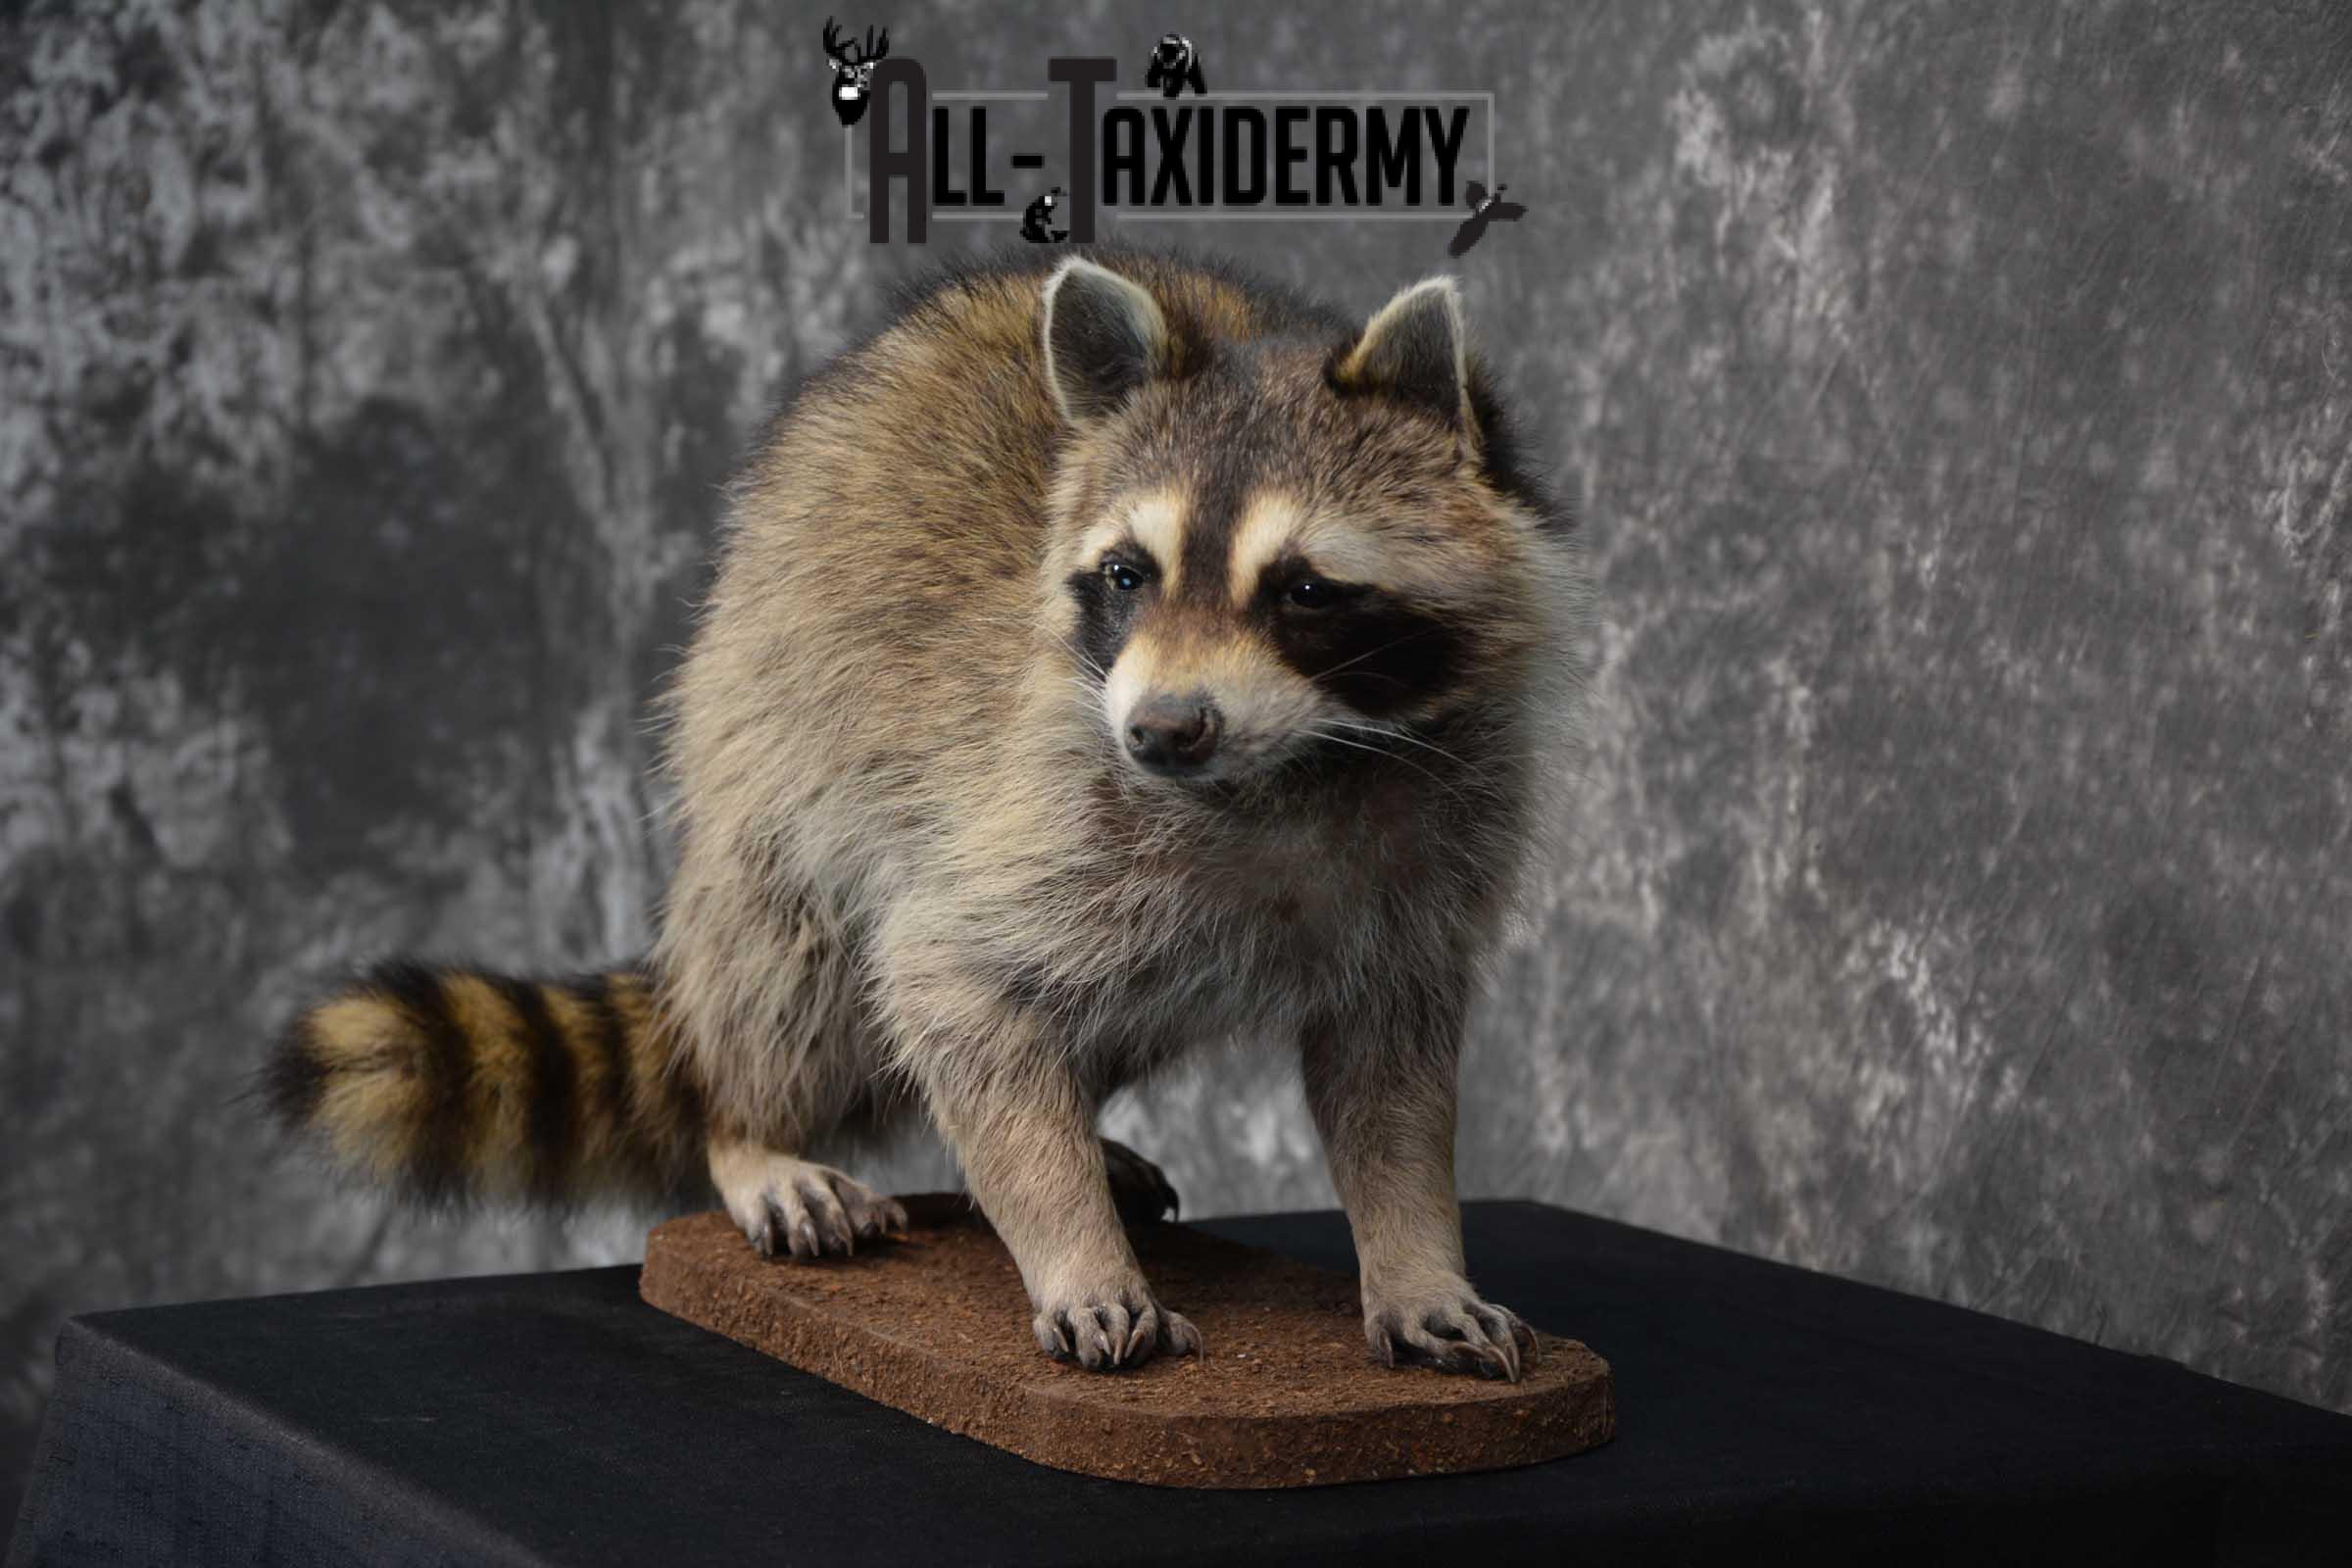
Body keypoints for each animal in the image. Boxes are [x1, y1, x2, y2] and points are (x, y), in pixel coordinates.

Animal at [267, 248, 1590, 1381]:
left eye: (1305, 590)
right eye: (1128, 575)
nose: (1161, 731)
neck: (1288, 769)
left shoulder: (1435, 847)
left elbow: (1393, 1087)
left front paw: (1416, 1258)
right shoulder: (1037, 796)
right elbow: (945, 975)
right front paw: (1073, 1244)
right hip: (763, 742)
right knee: (796, 959)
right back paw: (752, 1126)